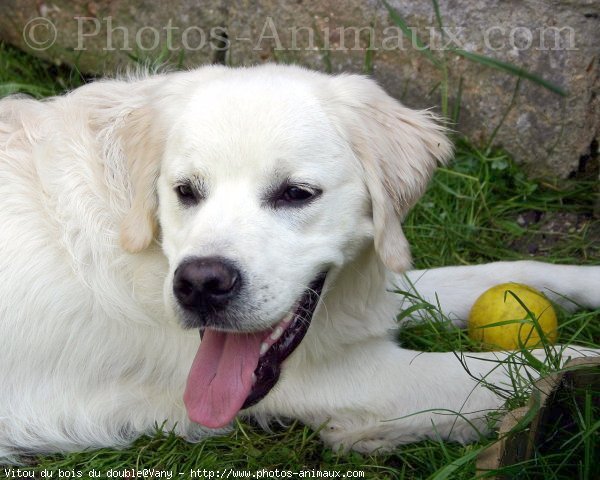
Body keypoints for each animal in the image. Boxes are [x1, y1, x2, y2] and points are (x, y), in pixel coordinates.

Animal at [1, 64, 600, 462]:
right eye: (185, 191)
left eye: (296, 193)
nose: (199, 285)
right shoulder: (349, 379)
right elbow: (525, 364)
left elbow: (493, 273)